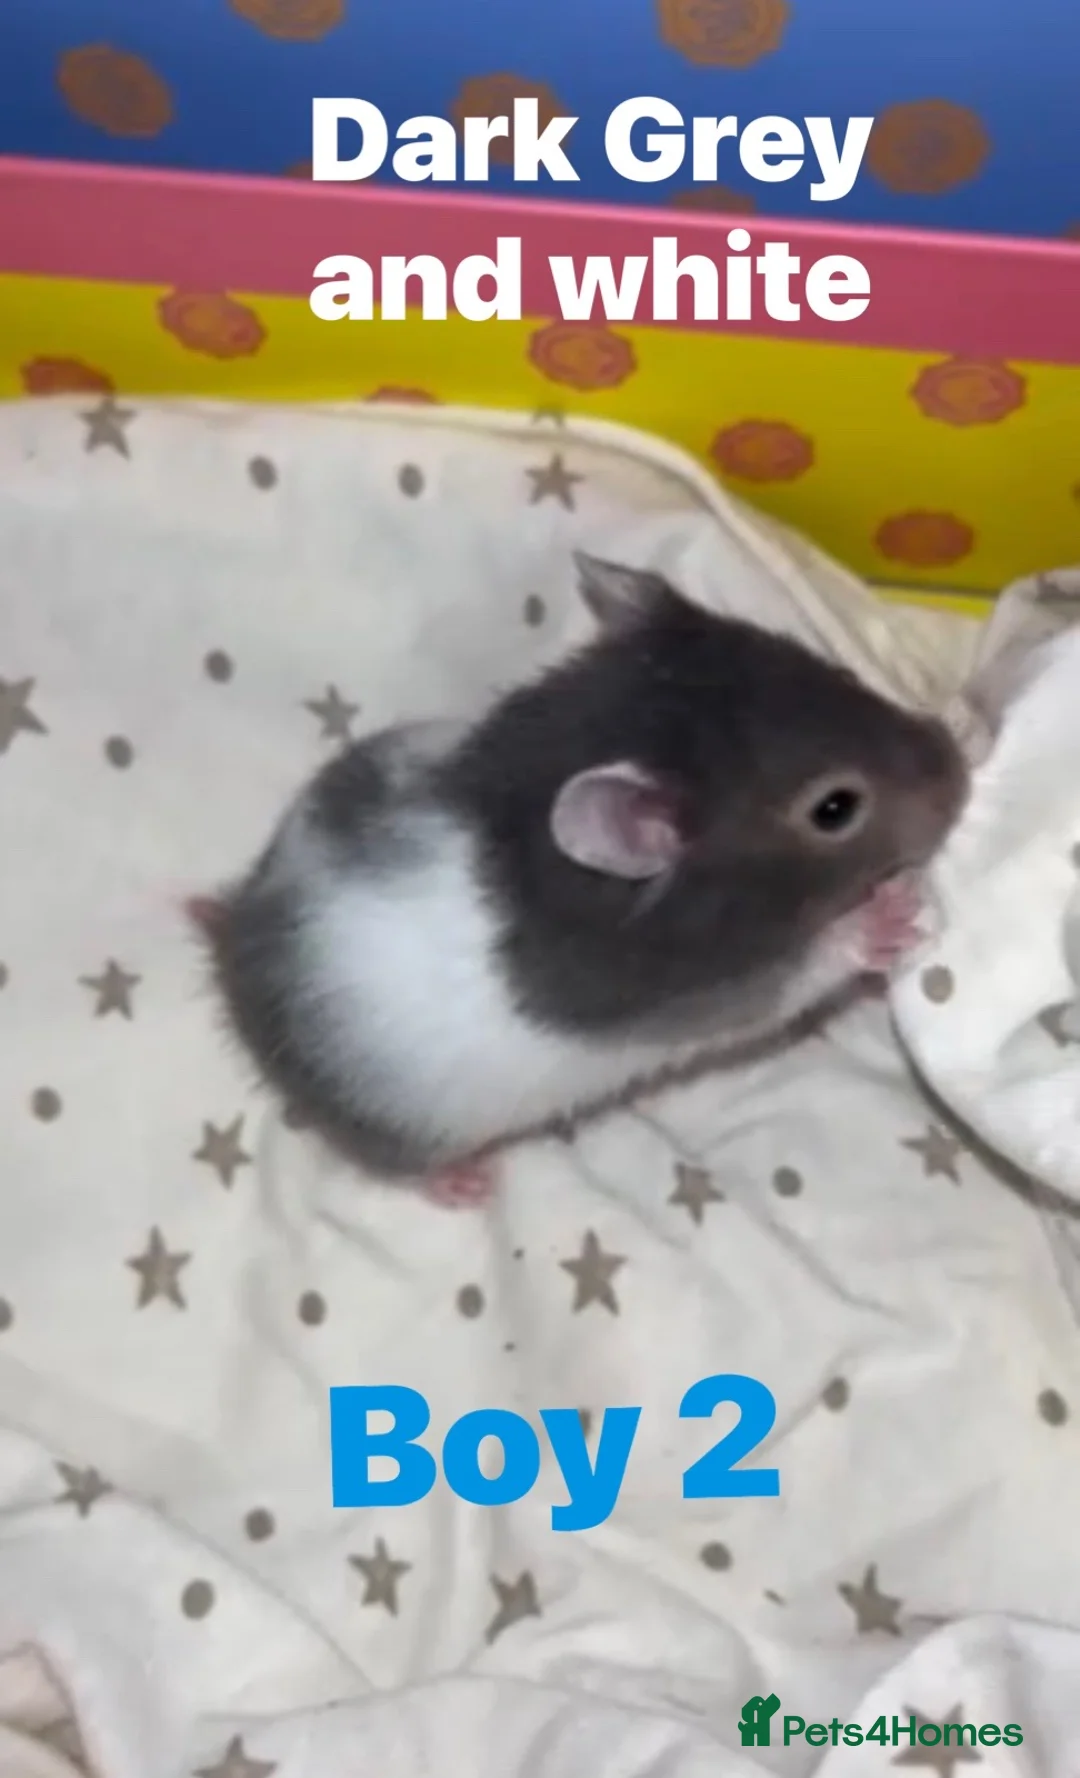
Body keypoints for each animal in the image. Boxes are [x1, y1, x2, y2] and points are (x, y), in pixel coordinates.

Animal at [199, 553, 968, 1205]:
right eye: (835, 808)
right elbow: (802, 973)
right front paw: (891, 912)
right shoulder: (715, 991)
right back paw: (464, 1185)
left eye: (837, 673)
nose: (958, 761)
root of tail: (235, 965)